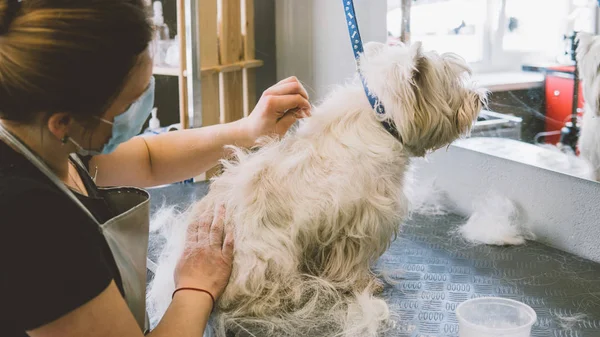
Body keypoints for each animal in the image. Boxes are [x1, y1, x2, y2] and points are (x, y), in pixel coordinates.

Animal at [146, 41, 488, 336]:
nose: (480, 98)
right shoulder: (359, 224)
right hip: (271, 255)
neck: (382, 119)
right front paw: (366, 282)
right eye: (453, 82)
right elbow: (353, 262)